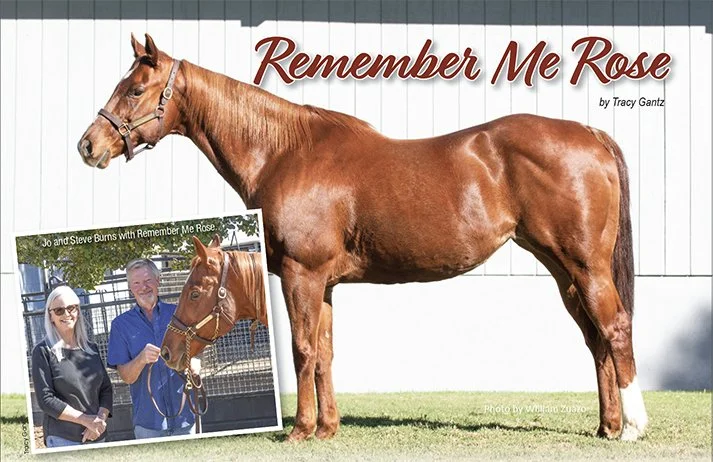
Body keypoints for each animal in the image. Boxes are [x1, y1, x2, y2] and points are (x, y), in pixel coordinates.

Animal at [78, 34, 648, 442]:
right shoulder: (324, 284)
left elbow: (303, 349)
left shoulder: (301, 277)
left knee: (615, 328)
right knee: (594, 338)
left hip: (586, 266)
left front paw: (301, 431)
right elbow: (325, 352)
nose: (88, 145)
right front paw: (328, 428)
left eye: (134, 90)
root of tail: (591, 134)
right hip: (564, 270)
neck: (285, 153)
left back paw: (632, 428)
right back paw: (606, 426)